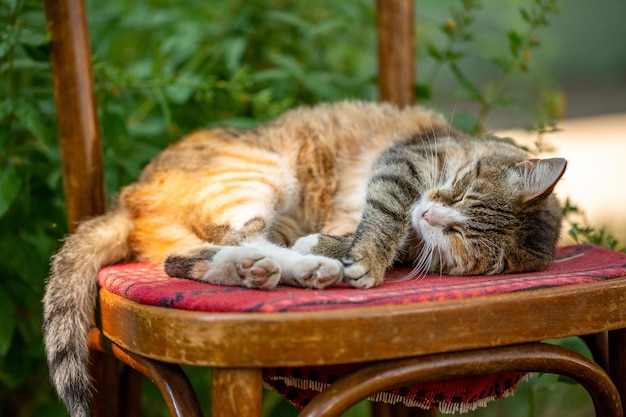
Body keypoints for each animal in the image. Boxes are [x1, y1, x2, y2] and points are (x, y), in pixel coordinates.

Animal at [41, 101, 564, 416]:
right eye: (460, 188)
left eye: (457, 233)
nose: (431, 213)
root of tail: (128, 198)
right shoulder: (405, 163)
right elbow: (387, 212)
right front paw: (362, 256)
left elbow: (379, 236)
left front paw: (346, 249)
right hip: (257, 175)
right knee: (243, 237)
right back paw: (301, 266)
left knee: (189, 259)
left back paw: (265, 269)